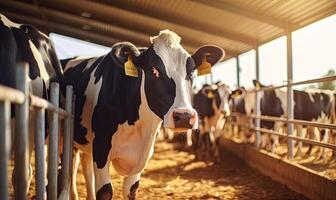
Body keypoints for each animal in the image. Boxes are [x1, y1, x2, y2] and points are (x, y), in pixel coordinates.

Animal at [61, 30, 224, 200]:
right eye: (153, 70)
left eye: (192, 72)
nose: (185, 117)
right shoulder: (101, 146)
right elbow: (105, 191)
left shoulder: (141, 155)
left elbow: (132, 190)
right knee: (71, 164)